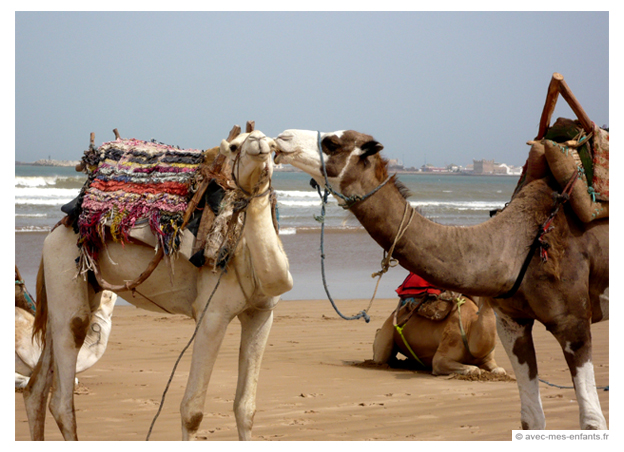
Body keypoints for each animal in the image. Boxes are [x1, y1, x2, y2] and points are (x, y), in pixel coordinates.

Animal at [372, 270, 504, 376]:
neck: (470, 326)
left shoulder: (488, 359)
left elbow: (500, 370)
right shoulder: (442, 356)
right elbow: (473, 369)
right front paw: (480, 371)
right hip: (389, 329)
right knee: (380, 356)